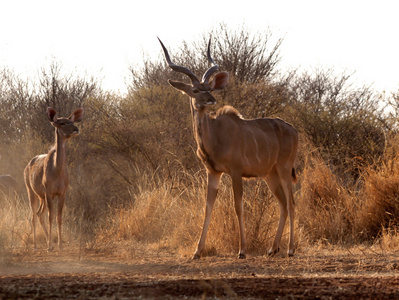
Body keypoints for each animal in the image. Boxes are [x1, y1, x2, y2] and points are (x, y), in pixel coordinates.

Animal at [24, 106, 83, 250]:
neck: (57, 171)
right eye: (61, 123)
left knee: (39, 214)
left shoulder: (62, 193)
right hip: (31, 192)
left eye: (71, 121)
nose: (76, 129)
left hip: (42, 197)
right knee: (34, 215)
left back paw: (46, 241)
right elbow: (51, 216)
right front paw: (50, 246)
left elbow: (59, 217)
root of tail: (27, 167)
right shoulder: (49, 192)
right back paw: (36, 245)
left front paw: (60, 245)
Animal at [159, 38, 300, 258]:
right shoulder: (213, 172)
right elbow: (208, 207)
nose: (211, 99)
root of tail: (293, 130)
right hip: (270, 174)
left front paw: (242, 250)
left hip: (284, 169)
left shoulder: (235, 171)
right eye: (196, 90)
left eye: (209, 87)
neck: (215, 136)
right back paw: (272, 248)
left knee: (291, 204)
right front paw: (197, 252)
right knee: (283, 204)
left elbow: (238, 206)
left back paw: (290, 249)